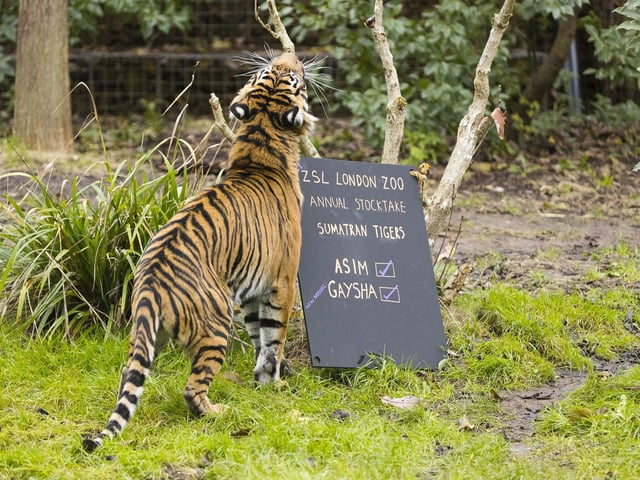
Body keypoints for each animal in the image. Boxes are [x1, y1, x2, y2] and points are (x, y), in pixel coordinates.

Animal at [83, 52, 316, 452]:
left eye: (270, 71)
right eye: (289, 77)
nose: (290, 56)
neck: (261, 143)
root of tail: (150, 284)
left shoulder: (250, 288)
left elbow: (258, 336)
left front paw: (262, 379)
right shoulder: (282, 280)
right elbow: (275, 337)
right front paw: (275, 382)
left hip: (143, 339)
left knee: (129, 377)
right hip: (216, 324)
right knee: (192, 388)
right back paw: (218, 412)